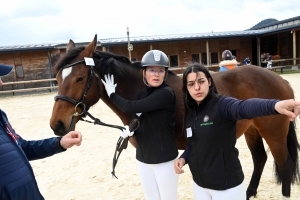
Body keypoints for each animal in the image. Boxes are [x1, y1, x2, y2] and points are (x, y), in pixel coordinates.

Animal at [50, 35, 298, 199]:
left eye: (80, 78)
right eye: (58, 77)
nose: (57, 125)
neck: (145, 89)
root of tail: (280, 79)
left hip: (274, 134)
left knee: (284, 164)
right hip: (252, 131)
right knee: (260, 159)